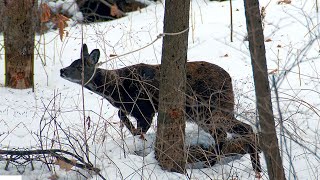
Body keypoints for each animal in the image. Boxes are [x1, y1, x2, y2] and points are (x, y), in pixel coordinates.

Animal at [61, 43, 262, 173]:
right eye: (72, 62)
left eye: (79, 66)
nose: (62, 70)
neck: (115, 90)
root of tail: (229, 79)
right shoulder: (132, 109)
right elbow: (121, 115)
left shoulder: (146, 108)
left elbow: (140, 129)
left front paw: (137, 138)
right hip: (205, 113)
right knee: (227, 132)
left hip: (211, 108)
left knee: (241, 129)